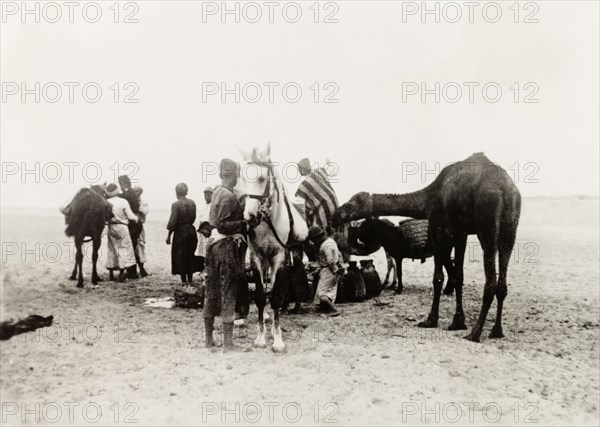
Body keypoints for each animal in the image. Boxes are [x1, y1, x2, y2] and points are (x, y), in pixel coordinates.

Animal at [237, 145, 308, 352]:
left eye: (262, 178)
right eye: (243, 178)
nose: (249, 217)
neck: (268, 220)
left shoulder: (279, 257)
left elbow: (276, 297)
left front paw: (277, 340)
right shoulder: (257, 257)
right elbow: (261, 296)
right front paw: (261, 337)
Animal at [332, 154, 520, 344]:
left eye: (352, 203)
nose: (336, 213)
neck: (427, 198)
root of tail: (505, 189)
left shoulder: (438, 229)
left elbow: (438, 278)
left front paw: (430, 320)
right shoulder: (460, 233)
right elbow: (458, 275)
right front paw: (457, 321)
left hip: (487, 222)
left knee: (490, 281)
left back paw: (475, 333)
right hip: (510, 228)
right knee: (502, 281)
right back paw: (497, 330)